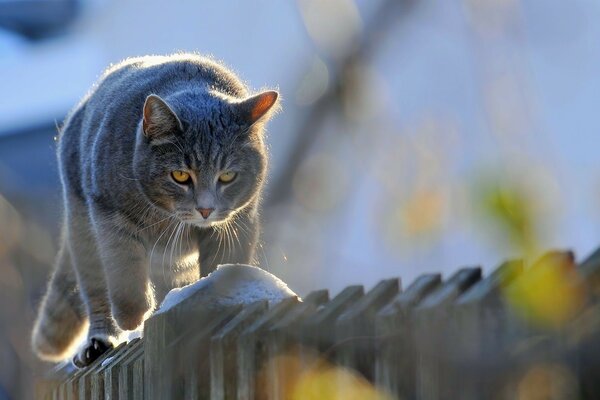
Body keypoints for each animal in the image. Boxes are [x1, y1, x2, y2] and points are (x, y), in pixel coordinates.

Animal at [30, 54, 278, 368]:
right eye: (180, 175)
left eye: (227, 176)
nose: (205, 209)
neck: (166, 218)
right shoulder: (110, 216)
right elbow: (125, 274)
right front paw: (132, 316)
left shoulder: (236, 224)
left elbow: (222, 264)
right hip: (82, 231)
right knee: (96, 291)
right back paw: (100, 341)